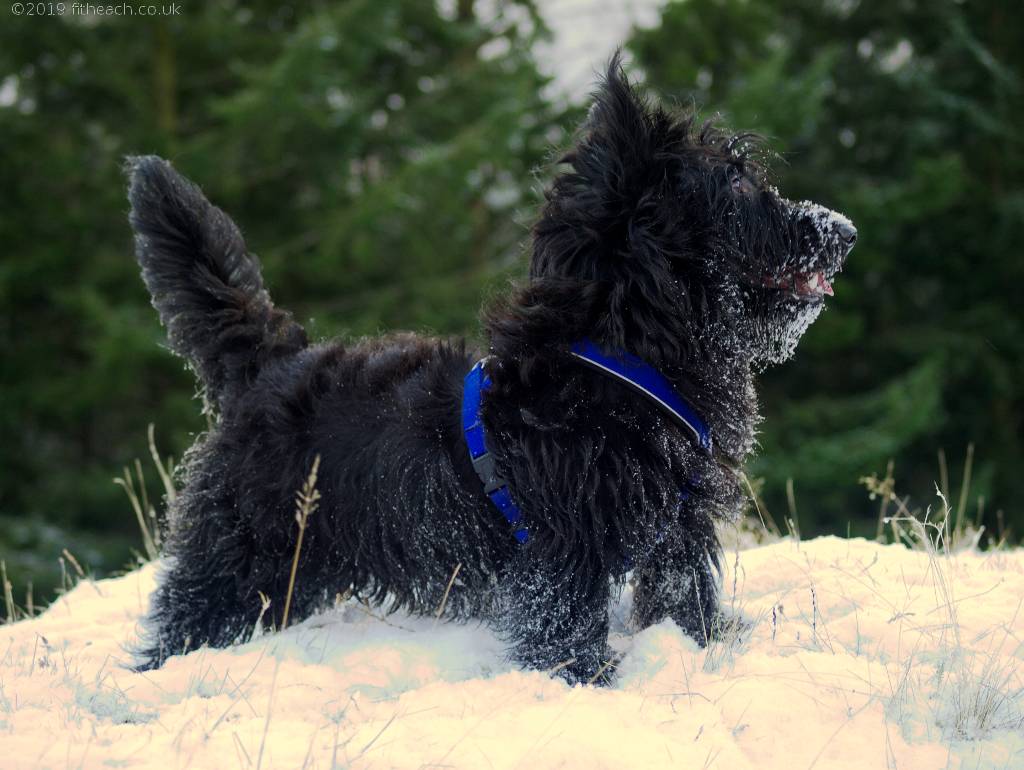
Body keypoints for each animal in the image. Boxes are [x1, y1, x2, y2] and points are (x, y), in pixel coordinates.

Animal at [123, 61, 856, 683]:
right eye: (734, 182)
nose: (844, 230)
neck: (621, 350)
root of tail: (267, 361)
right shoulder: (561, 546)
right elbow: (565, 626)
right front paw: (585, 681)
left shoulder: (678, 528)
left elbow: (685, 598)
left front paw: (703, 648)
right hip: (238, 551)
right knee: (188, 616)